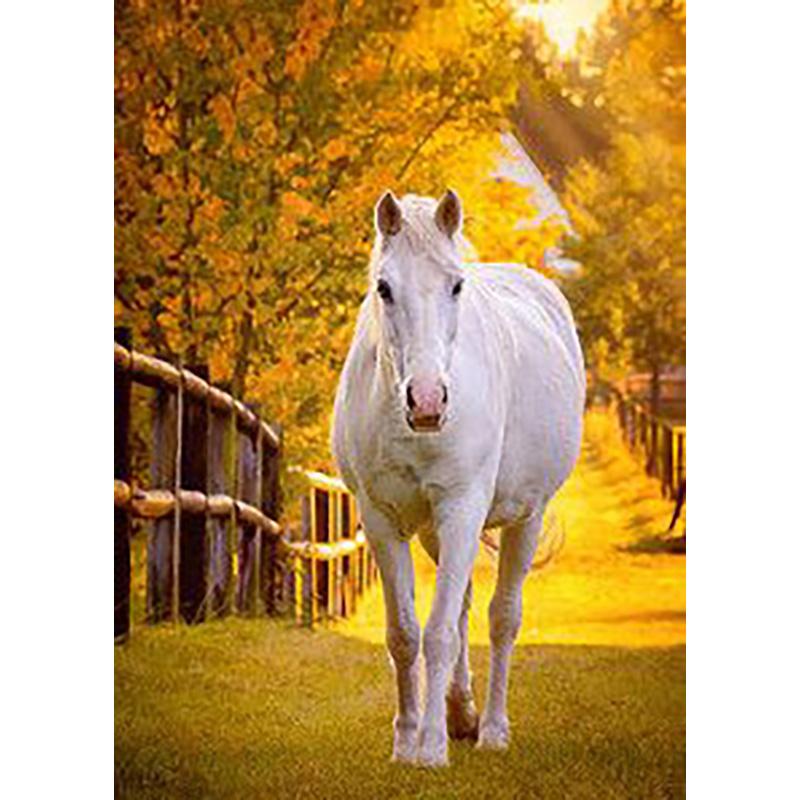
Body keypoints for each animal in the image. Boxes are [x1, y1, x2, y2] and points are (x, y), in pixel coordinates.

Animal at [332, 190, 585, 767]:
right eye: (384, 288)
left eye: (456, 285)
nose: (426, 402)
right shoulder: (382, 519)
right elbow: (405, 634)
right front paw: (406, 740)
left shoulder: (463, 509)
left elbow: (440, 633)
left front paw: (430, 749)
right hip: (435, 530)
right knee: (467, 606)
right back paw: (461, 714)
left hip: (523, 518)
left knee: (502, 618)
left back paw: (491, 729)